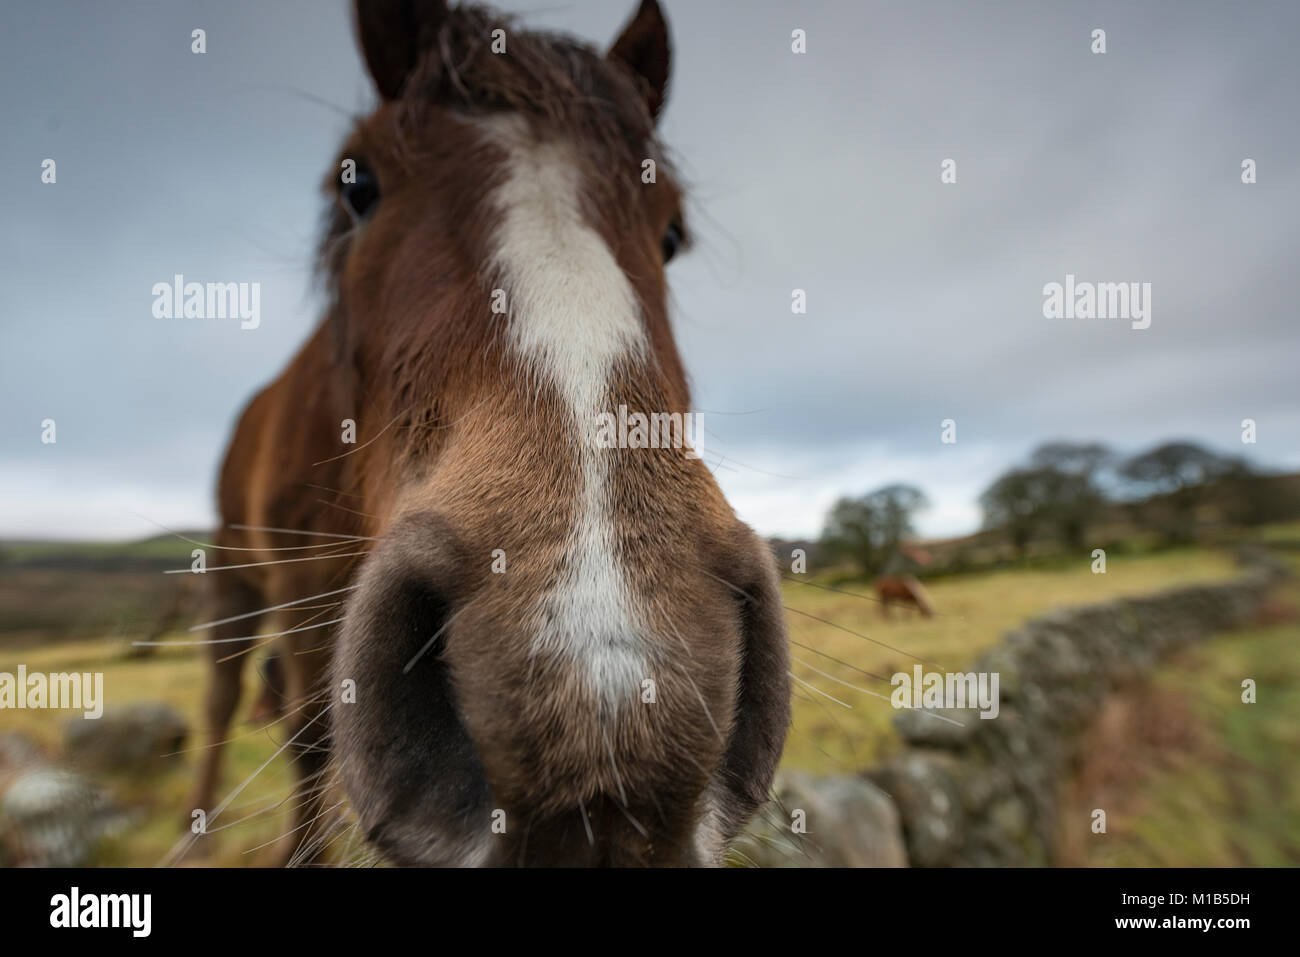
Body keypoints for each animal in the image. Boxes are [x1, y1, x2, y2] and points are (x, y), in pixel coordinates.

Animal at [185, 0, 790, 868]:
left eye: (672, 233)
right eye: (358, 183)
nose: (601, 706)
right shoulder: (300, 588)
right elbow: (305, 736)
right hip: (236, 574)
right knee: (225, 690)